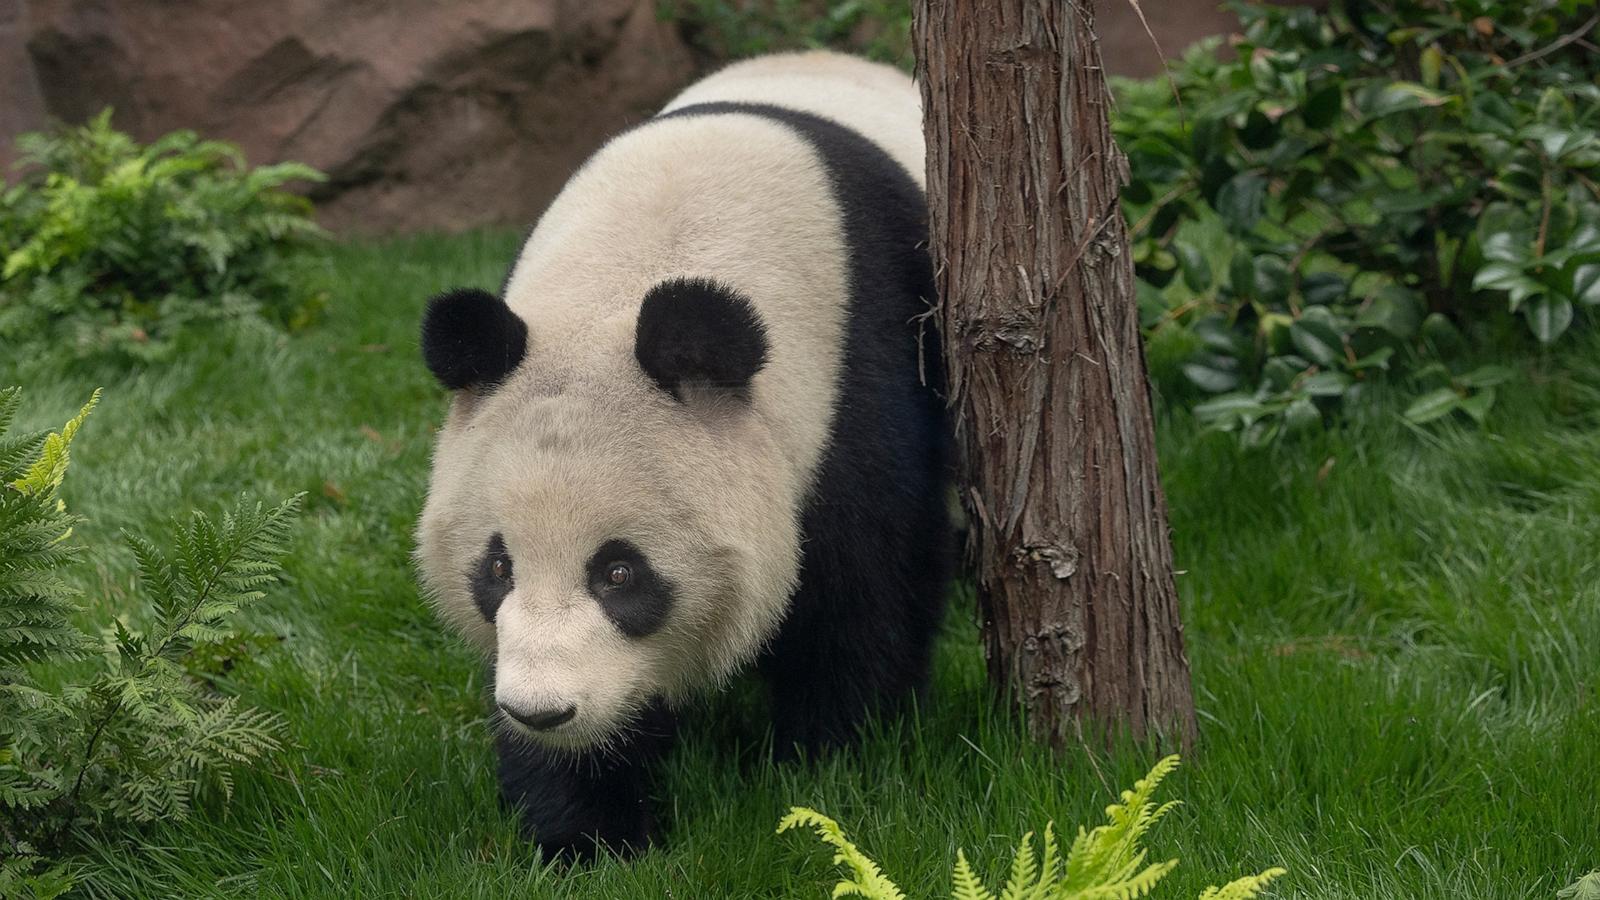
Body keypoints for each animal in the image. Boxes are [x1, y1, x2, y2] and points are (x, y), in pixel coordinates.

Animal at [419, 50, 953, 851]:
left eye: (619, 572)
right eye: (497, 567)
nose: (544, 710)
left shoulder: (862, 376)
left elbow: (867, 592)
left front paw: (823, 764)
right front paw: (588, 827)